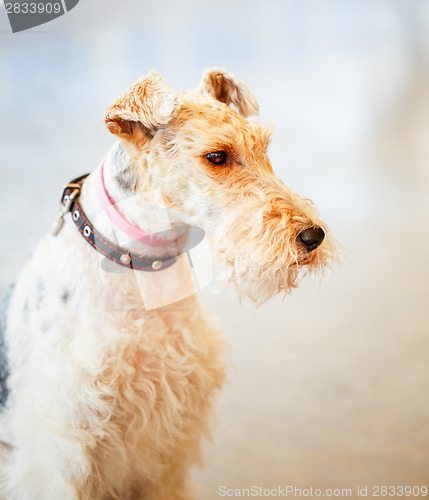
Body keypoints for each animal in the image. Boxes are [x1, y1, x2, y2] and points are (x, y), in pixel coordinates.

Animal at [0, 68, 334, 498]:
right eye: (217, 156)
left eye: (265, 148)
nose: (312, 236)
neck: (140, 266)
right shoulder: (59, 446)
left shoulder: (167, 438)